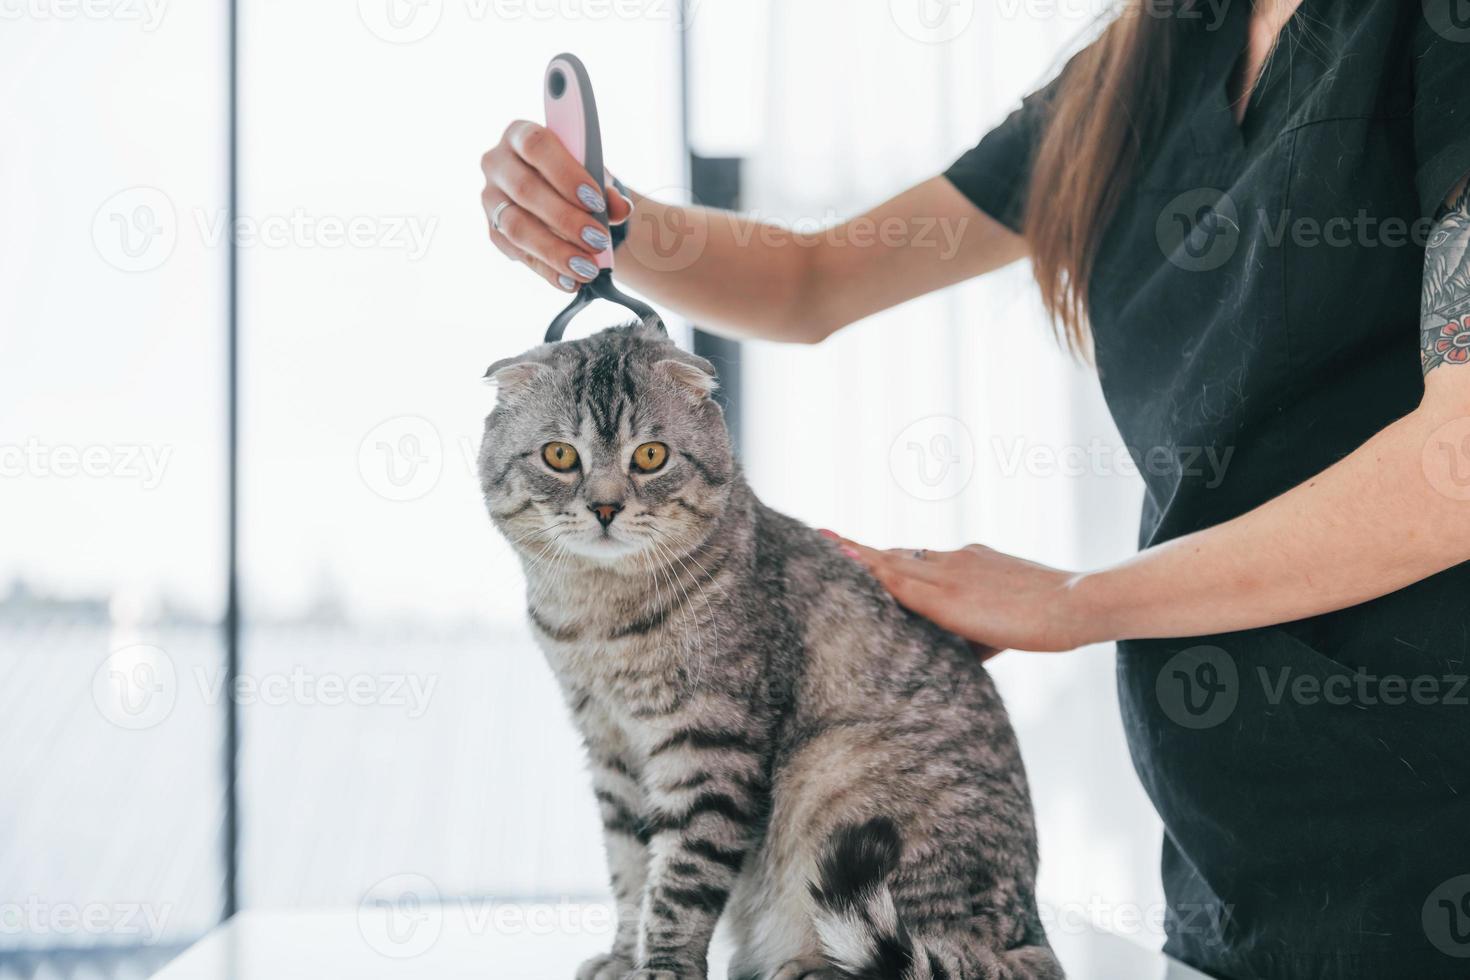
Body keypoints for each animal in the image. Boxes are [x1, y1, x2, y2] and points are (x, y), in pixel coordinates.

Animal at [482, 321, 1070, 980]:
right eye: (560, 456)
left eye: (650, 456)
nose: (605, 507)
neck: (598, 614)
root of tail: (1031, 941)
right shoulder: (609, 747)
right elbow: (630, 870)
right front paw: (621, 957)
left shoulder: (711, 745)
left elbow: (681, 879)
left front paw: (663, 967)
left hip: (842, 781)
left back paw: (808, 967)